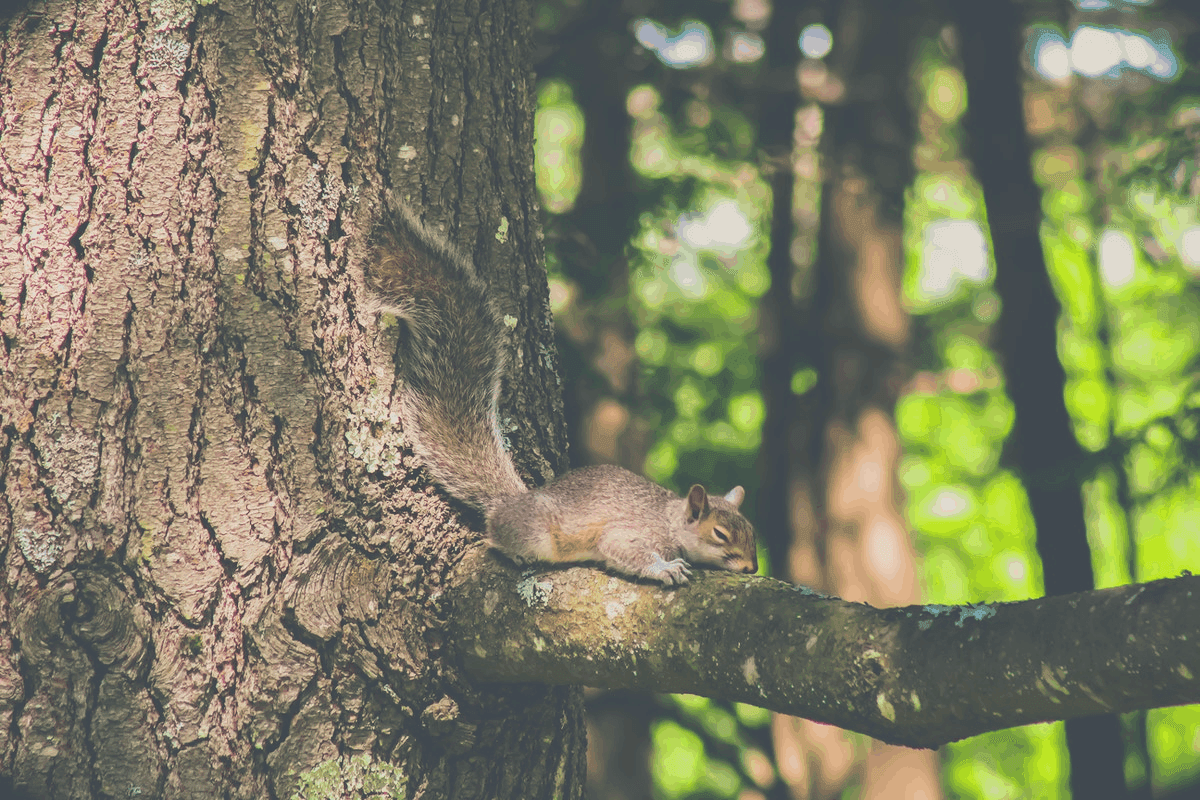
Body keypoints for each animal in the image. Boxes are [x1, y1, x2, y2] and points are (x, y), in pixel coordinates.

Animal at [363, 207, 758, 586]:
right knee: (494, 538)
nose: (752, 567)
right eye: (720, 534)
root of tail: (509, 502)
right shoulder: (631, 532)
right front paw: (664, 568)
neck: (671, 521)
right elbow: (624, 550)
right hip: (536, 533)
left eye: (751, 531)